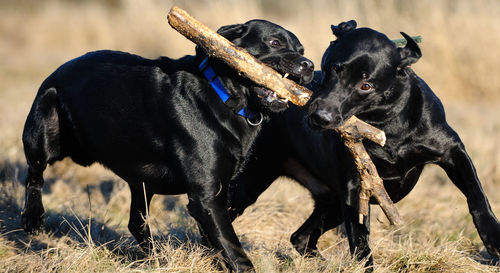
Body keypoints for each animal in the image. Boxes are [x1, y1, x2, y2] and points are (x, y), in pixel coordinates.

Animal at [21, 20, 312, 270]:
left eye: (301, 50)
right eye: (274, 42)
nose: (308, 65)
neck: (224, 95)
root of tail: (60, 68)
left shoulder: (218, 192)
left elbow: (216, 242)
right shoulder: (207, 197)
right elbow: (233, 247)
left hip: (142, 183)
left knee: (136, 222)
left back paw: (156, 259)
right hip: (43, 128)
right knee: (34, 174)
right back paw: (32, 219)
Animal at [228, 20, 500, 266]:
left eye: (366, 85)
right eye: (334, 68)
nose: (321, 116)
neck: (386, 127)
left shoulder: (452, 150)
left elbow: (476, 195)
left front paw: (493, 239)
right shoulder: (356, 185)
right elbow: (359, 239)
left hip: (331, 203)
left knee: (301, 237)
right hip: (252, 184)